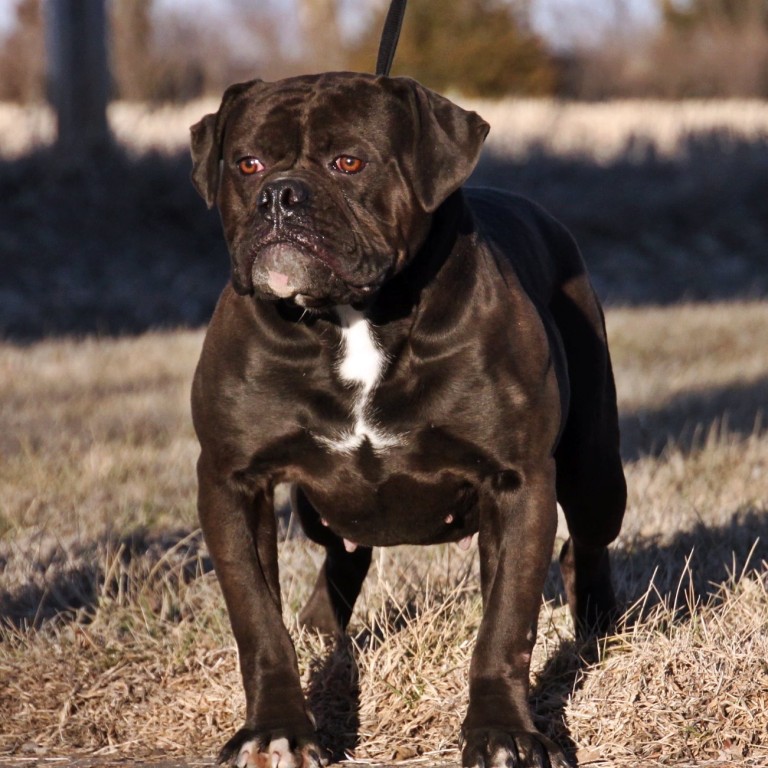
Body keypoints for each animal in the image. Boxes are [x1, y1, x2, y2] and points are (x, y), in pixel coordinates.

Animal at [189, 73, 628, 768]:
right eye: (247, 163)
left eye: (349, 162)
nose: (279, 196)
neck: (351, 318)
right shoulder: (233, 483)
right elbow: (258, 621)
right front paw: (277, 730)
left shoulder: (519, 482)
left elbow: (507, 623)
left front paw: (504, 734)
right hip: (321, 509)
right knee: (343, 556)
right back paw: (321, 630)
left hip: (595, 472)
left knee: (584, 540)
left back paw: (596, 624)